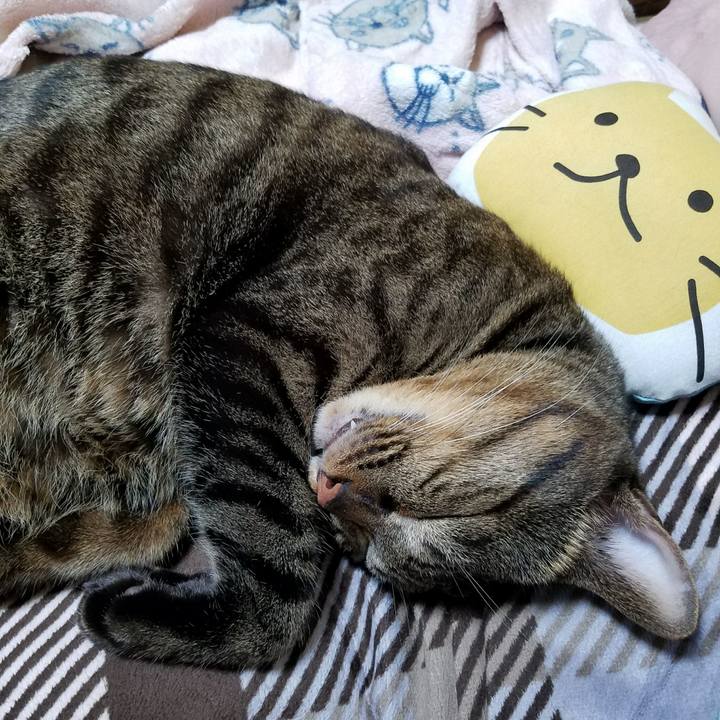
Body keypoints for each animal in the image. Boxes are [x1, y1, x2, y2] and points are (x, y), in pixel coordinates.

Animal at [0, 57, 697, 669]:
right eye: (443, 506)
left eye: (368, 552)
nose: (329, 489)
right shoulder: (250, 338)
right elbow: (279, 563)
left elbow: (169, 530)